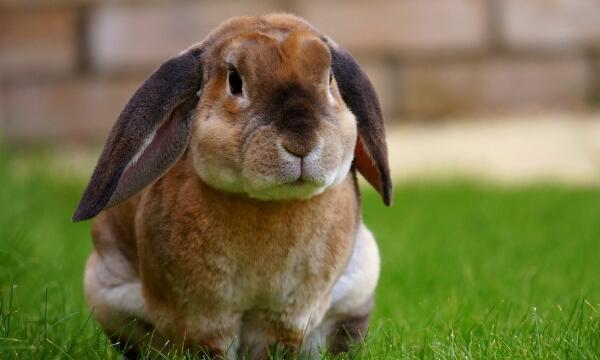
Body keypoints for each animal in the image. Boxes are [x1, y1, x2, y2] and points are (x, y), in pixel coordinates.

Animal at [72, 12, 392, 358]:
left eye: (330, 78)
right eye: (235, 81)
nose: (301, 143)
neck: (268, 204)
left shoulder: (286, 317)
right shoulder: (203, 317)